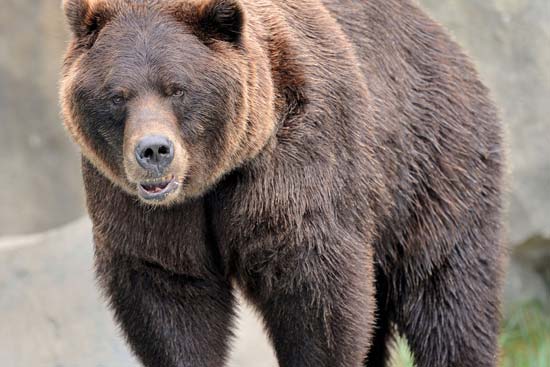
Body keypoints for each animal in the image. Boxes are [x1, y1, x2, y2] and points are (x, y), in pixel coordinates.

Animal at [59, 0, 504, 367]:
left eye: (177, 89)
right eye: (118, 95)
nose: (153, 150)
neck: (216, 177)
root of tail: (448, 44)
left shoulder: (298, 166)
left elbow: (318, 297)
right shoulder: (139, 207)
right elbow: (169, 295)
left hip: (430, 171)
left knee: (449, 298)